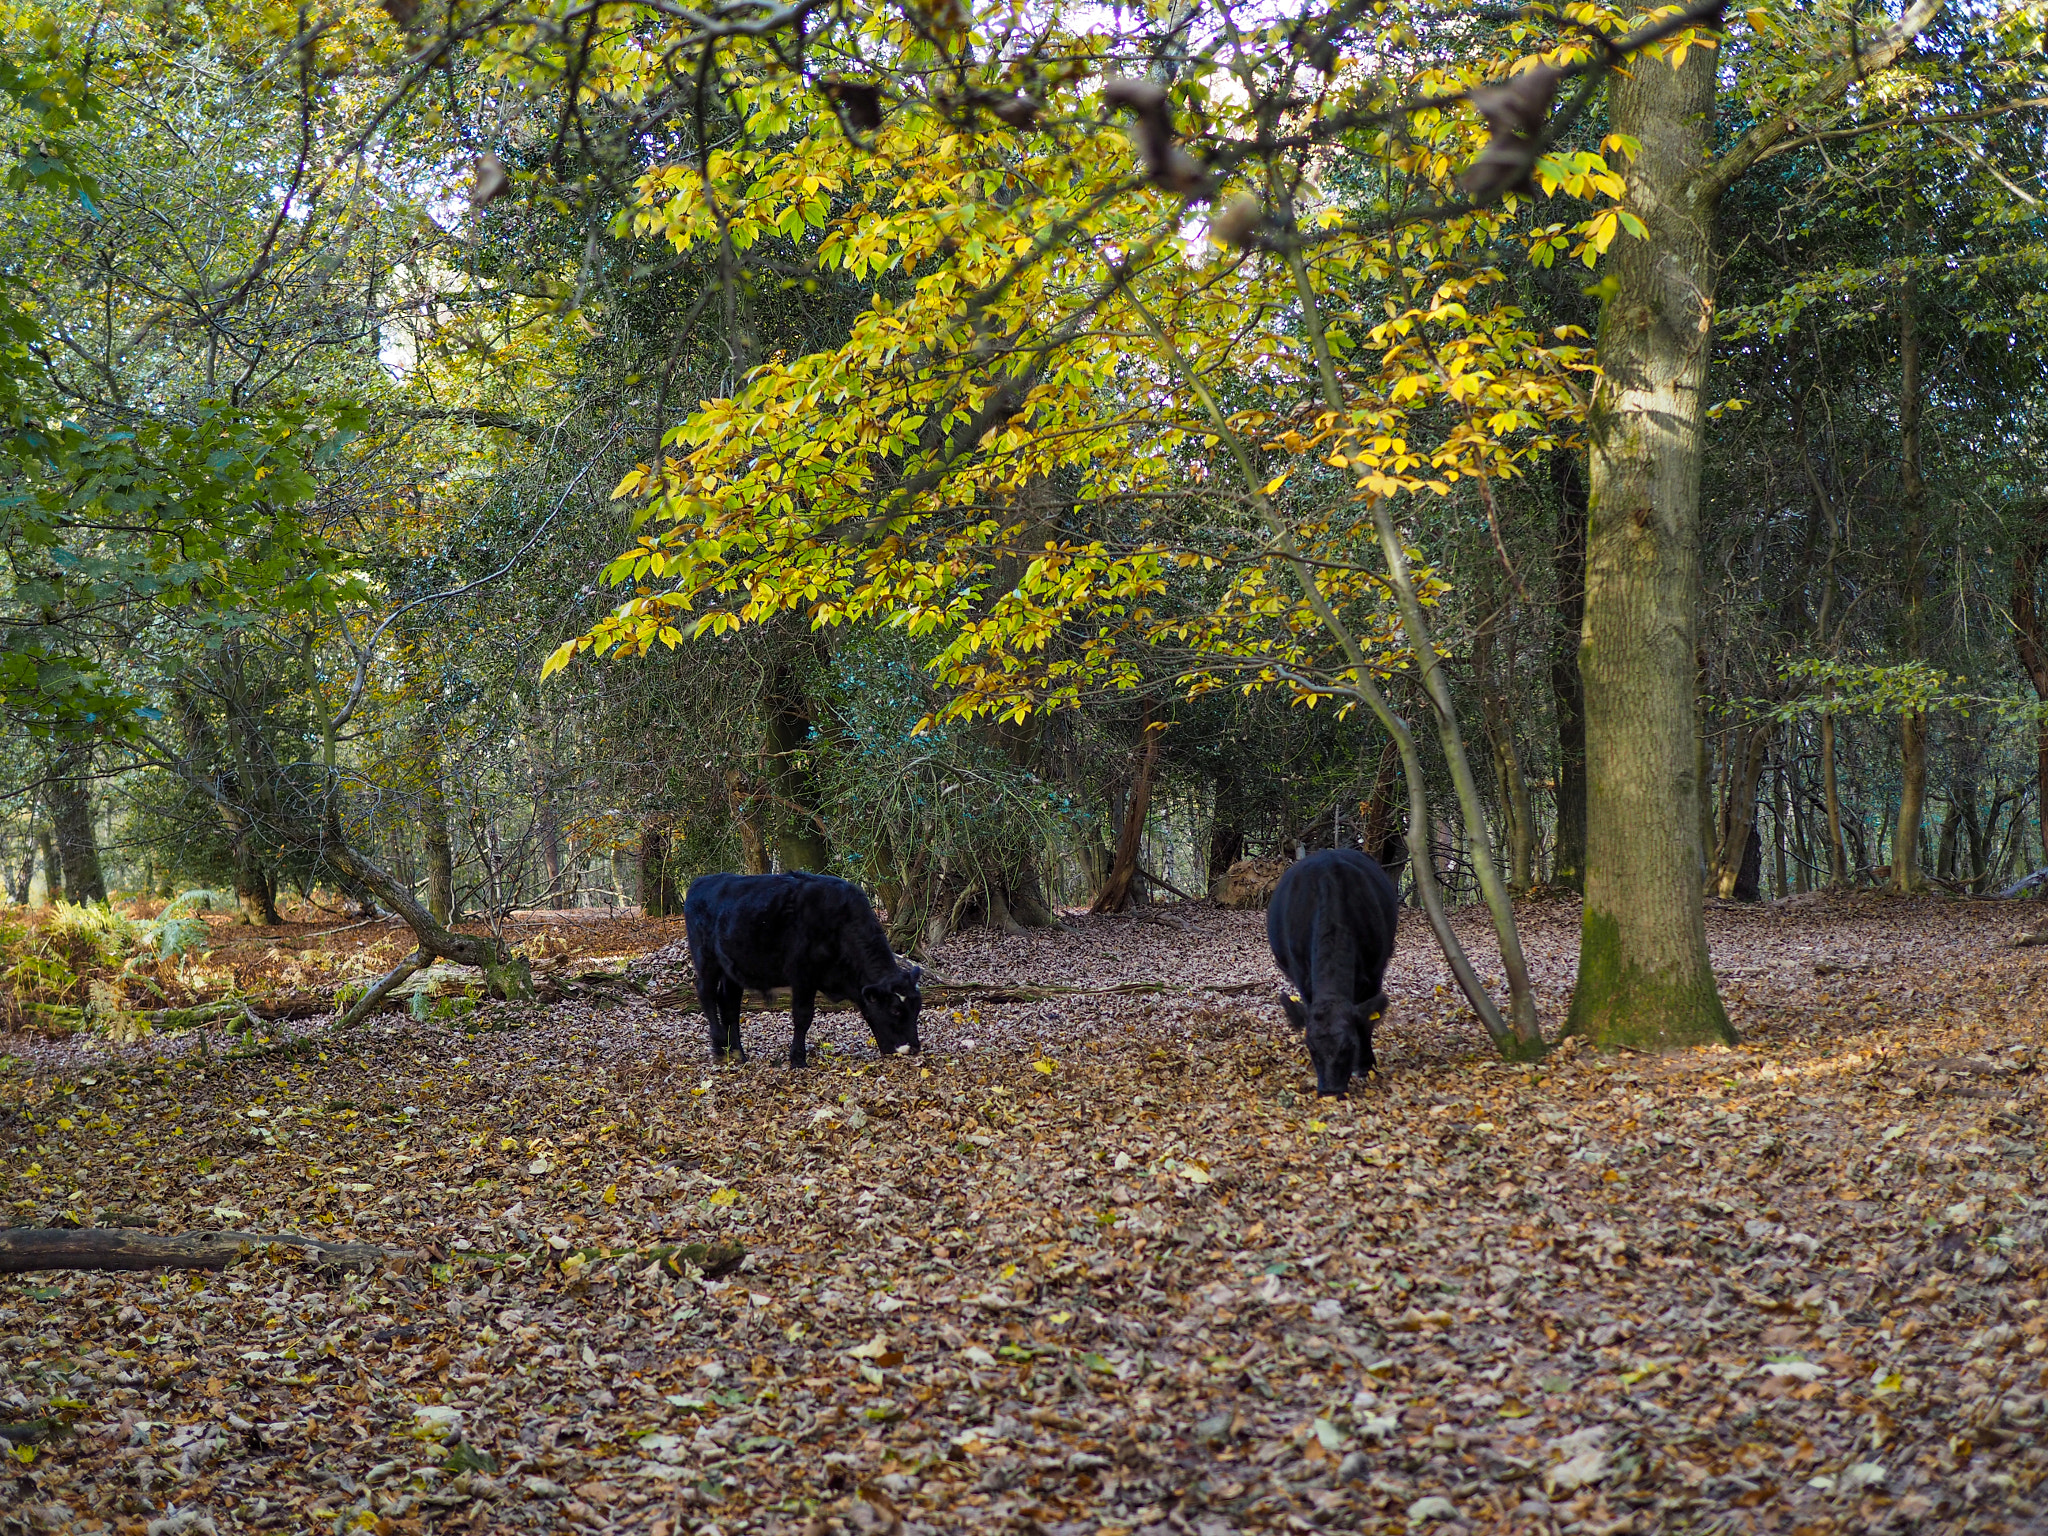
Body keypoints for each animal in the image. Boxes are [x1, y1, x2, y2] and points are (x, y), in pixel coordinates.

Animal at [683, 871, 923, 1067]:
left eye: (917, 1008)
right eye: (895, 1010)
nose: (914, 1047)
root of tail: (701, 881)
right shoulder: (803, 976)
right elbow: (803, 1016)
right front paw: (798, 1059)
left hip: (732, 969)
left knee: (729, 1004)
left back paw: (737, 1054)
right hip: (706, 959)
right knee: (706, 994)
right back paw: (718, 1046)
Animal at [1266, 847, 1402, 1096]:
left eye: (1349, 1045)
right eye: (1310, 1046)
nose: (1330, 1090)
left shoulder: (1374, 972)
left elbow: (1366, 1022)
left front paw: (1365, 1065)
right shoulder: (1302, 977)